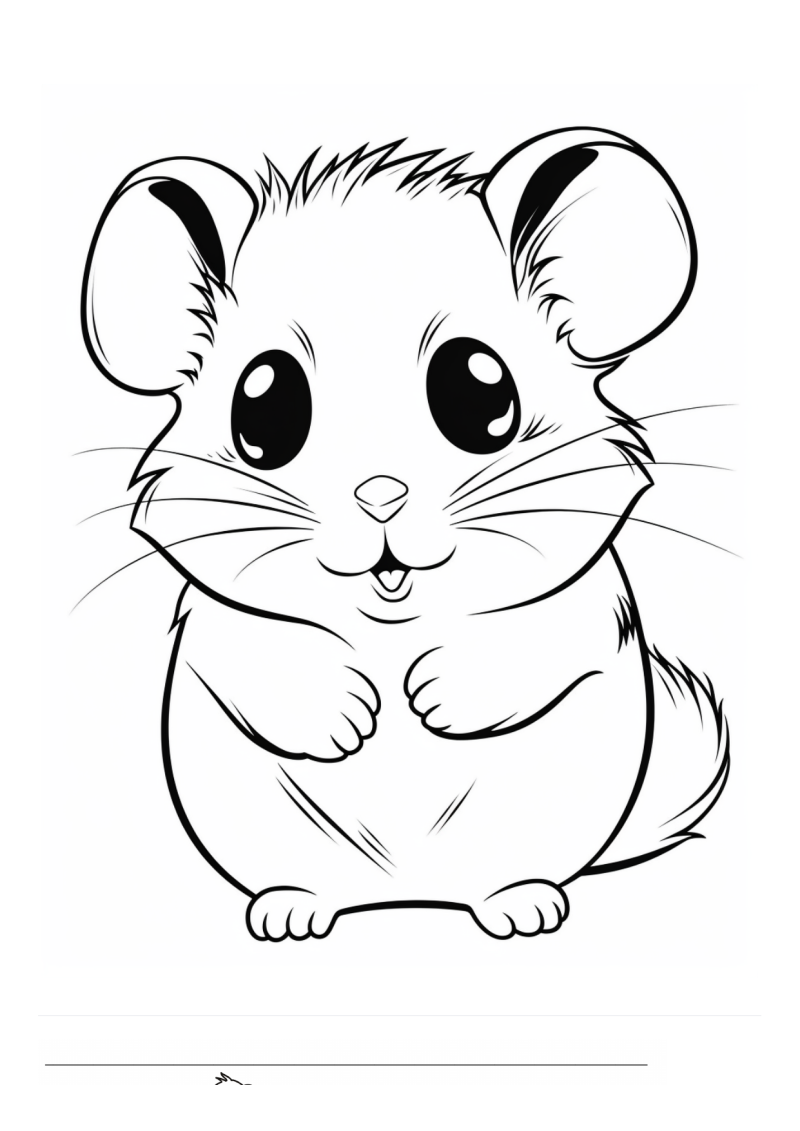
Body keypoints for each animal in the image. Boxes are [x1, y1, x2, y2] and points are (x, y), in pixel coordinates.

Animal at [81, 128, 729, 940]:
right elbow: (261, 653)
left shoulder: (592, 598)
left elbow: (539, 636)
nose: (379, 494)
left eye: (482, 390)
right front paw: (350, 720)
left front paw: (432, 697)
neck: (392, 626)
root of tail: (408, 892)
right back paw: (289, 913)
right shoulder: (215, 619)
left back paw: (523, 907)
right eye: (262, 406)